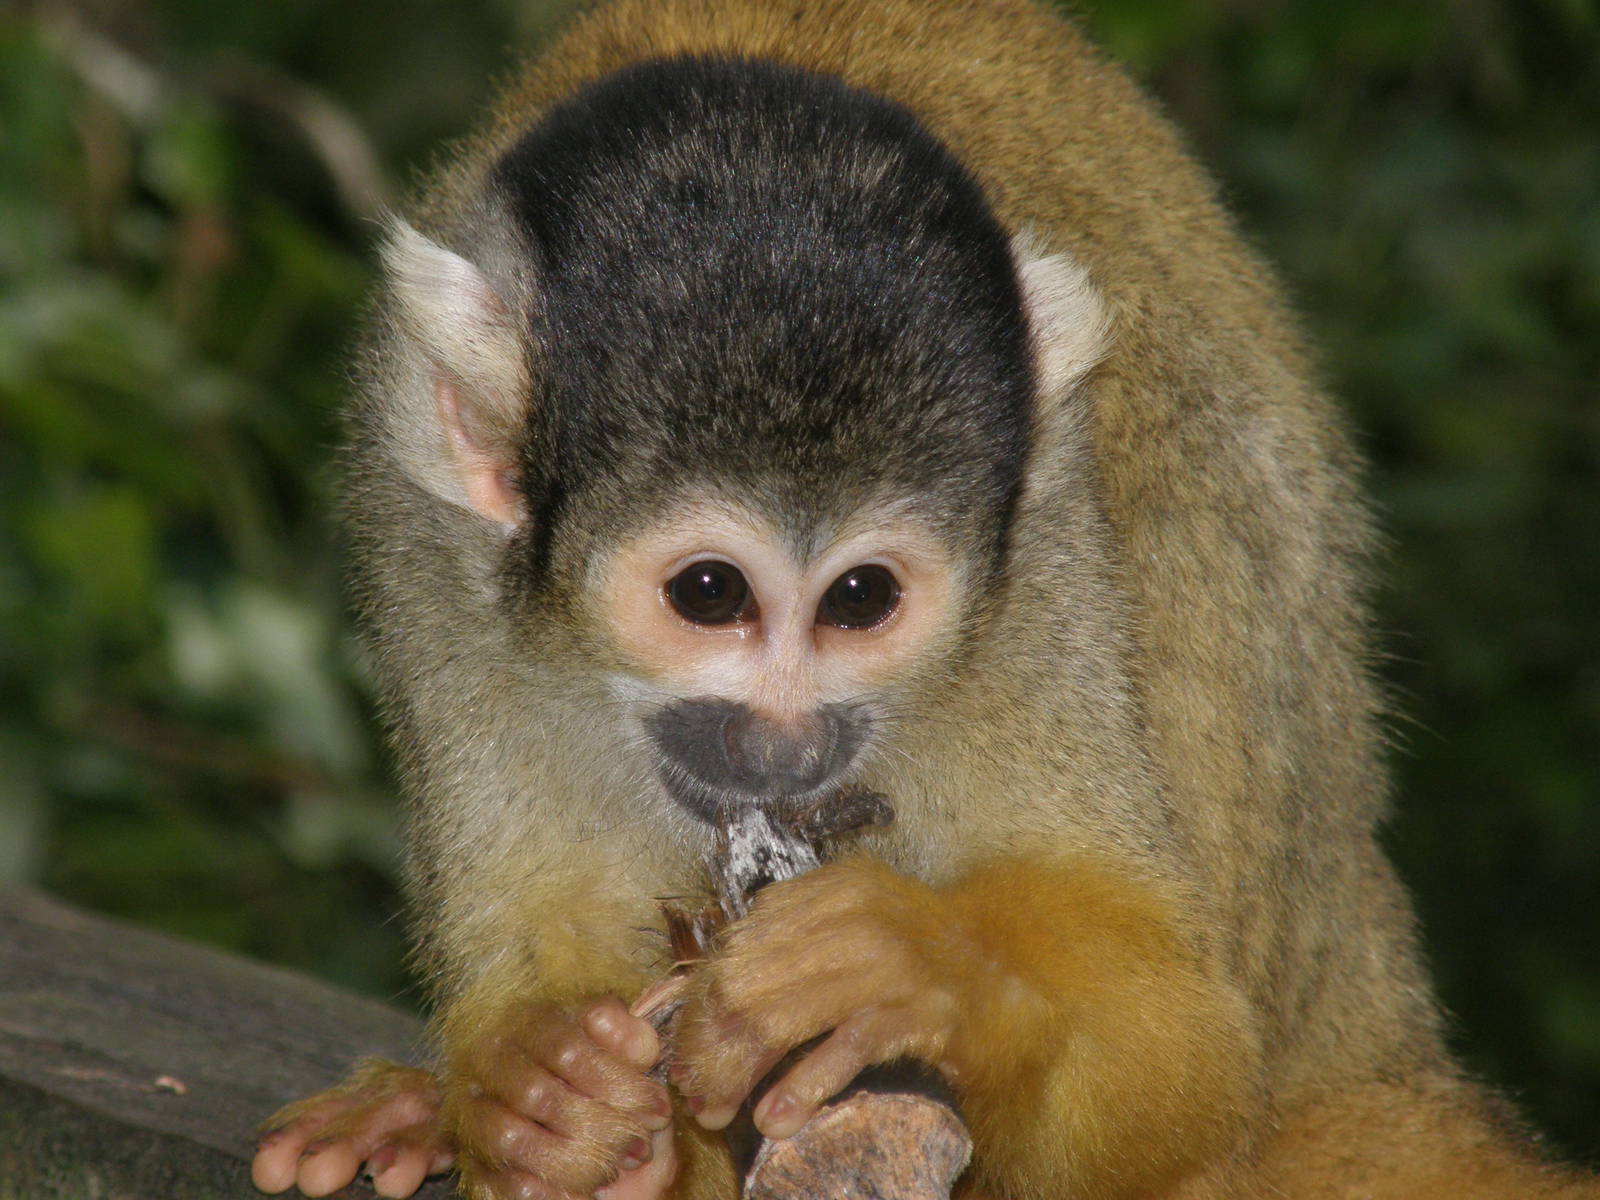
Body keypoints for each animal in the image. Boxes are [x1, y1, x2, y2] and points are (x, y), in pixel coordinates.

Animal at [250, 1, 1600, 1198]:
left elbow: (1187, 1054)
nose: (781, 741)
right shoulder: (422, 526)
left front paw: (919, 974)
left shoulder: (1045, 541)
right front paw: (538, 1104)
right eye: (708, 593)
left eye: (859, 598)